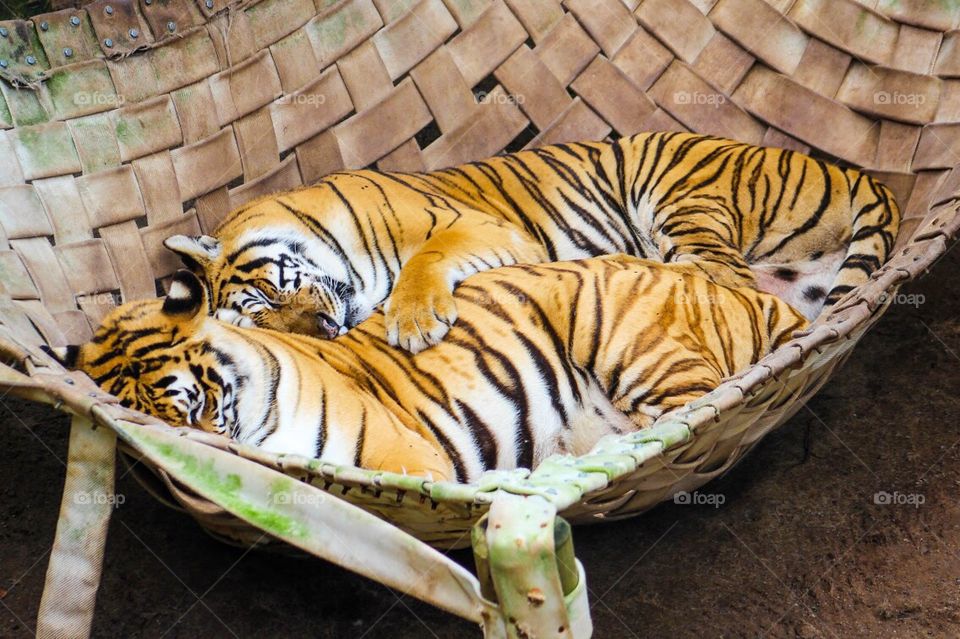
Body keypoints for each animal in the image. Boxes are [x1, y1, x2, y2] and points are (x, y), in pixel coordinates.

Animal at [49, 256, 808, 482]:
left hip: (634, 342)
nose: (214, 458)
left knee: (686, 416)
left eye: (201, 406)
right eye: (160, 427)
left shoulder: (410, 457)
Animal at [164, 131, 899, 353]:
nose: (320, 331)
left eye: (272, 291)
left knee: (725, 282)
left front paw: (414, 320)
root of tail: (855, 172)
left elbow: (425, 259)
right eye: (262, 324)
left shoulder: (482, 227)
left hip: (675, 192)